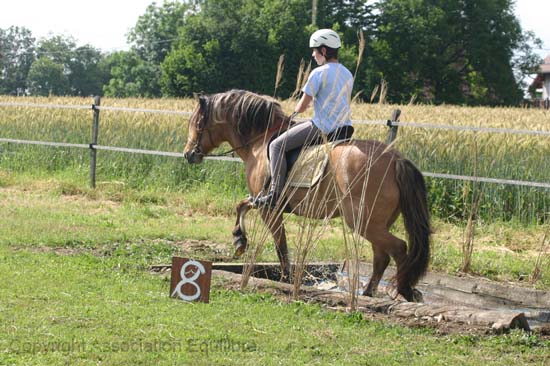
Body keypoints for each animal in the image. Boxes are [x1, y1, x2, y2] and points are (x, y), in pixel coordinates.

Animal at [183, 88, 434, 300]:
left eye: (197, 122)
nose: (188, 154)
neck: (259, 141)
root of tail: (395, 159)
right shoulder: (261, 201)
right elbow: (242, 205)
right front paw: (239, 240)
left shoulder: (269, 207)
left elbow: (280, 244)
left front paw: (283, 276)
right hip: (376, 223)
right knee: (381, 256)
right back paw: (368, 293)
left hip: (362, 221)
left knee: (398, 249)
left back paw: (403, 290)